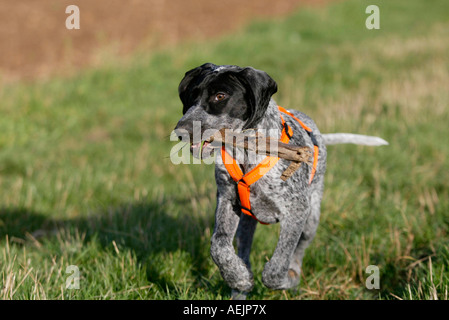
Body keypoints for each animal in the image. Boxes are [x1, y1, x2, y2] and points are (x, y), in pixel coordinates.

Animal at [173, 63, 386, 300]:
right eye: (192, 95)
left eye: (220, 96)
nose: (181, 131)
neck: (247, 152)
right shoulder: (227, 202)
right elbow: (218, 246)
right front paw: (238, 277)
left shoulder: (296, 212)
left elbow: (278, 266)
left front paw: (288, 279)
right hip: (247, 221)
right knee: (243, 250)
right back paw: (240, 287)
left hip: (311, 217)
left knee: (299, 250)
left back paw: (293, 274)